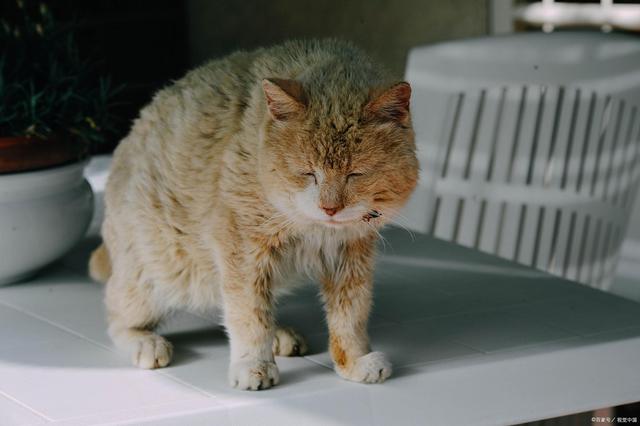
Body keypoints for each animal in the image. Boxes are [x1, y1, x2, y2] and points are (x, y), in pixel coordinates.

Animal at [89, 39, 418, 390]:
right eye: (308, 174)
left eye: (355, 174)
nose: (330, 208)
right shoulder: (242, 250)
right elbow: (249, 313)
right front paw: (253, 365)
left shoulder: (352, 255)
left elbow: (351, 314)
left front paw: (354, 360)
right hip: (160, 274)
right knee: (116, 315)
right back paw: (145, 342)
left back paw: (281, 335)